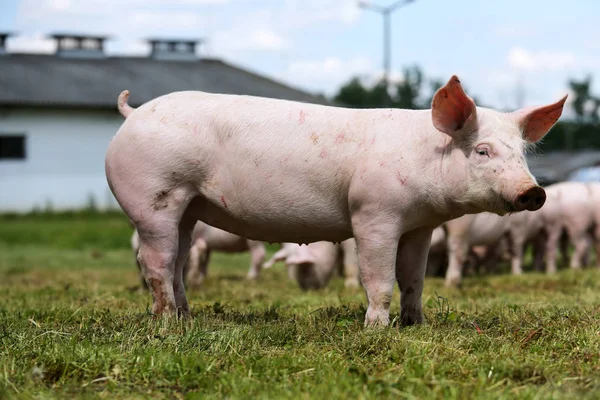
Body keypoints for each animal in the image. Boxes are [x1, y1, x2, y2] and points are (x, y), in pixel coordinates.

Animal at [105, 76, 564, 328]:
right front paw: (376, 331)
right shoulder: (374, 214)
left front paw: (415, 325)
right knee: (156, 261)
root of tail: (134, 114)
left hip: (189, 209)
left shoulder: (420, 225)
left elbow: (414, 279)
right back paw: (168, 324)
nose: (534, 192)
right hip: (153, 198)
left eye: (522, 153)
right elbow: (379, 278)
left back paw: (186, 318)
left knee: (179, 260)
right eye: (483, 151)